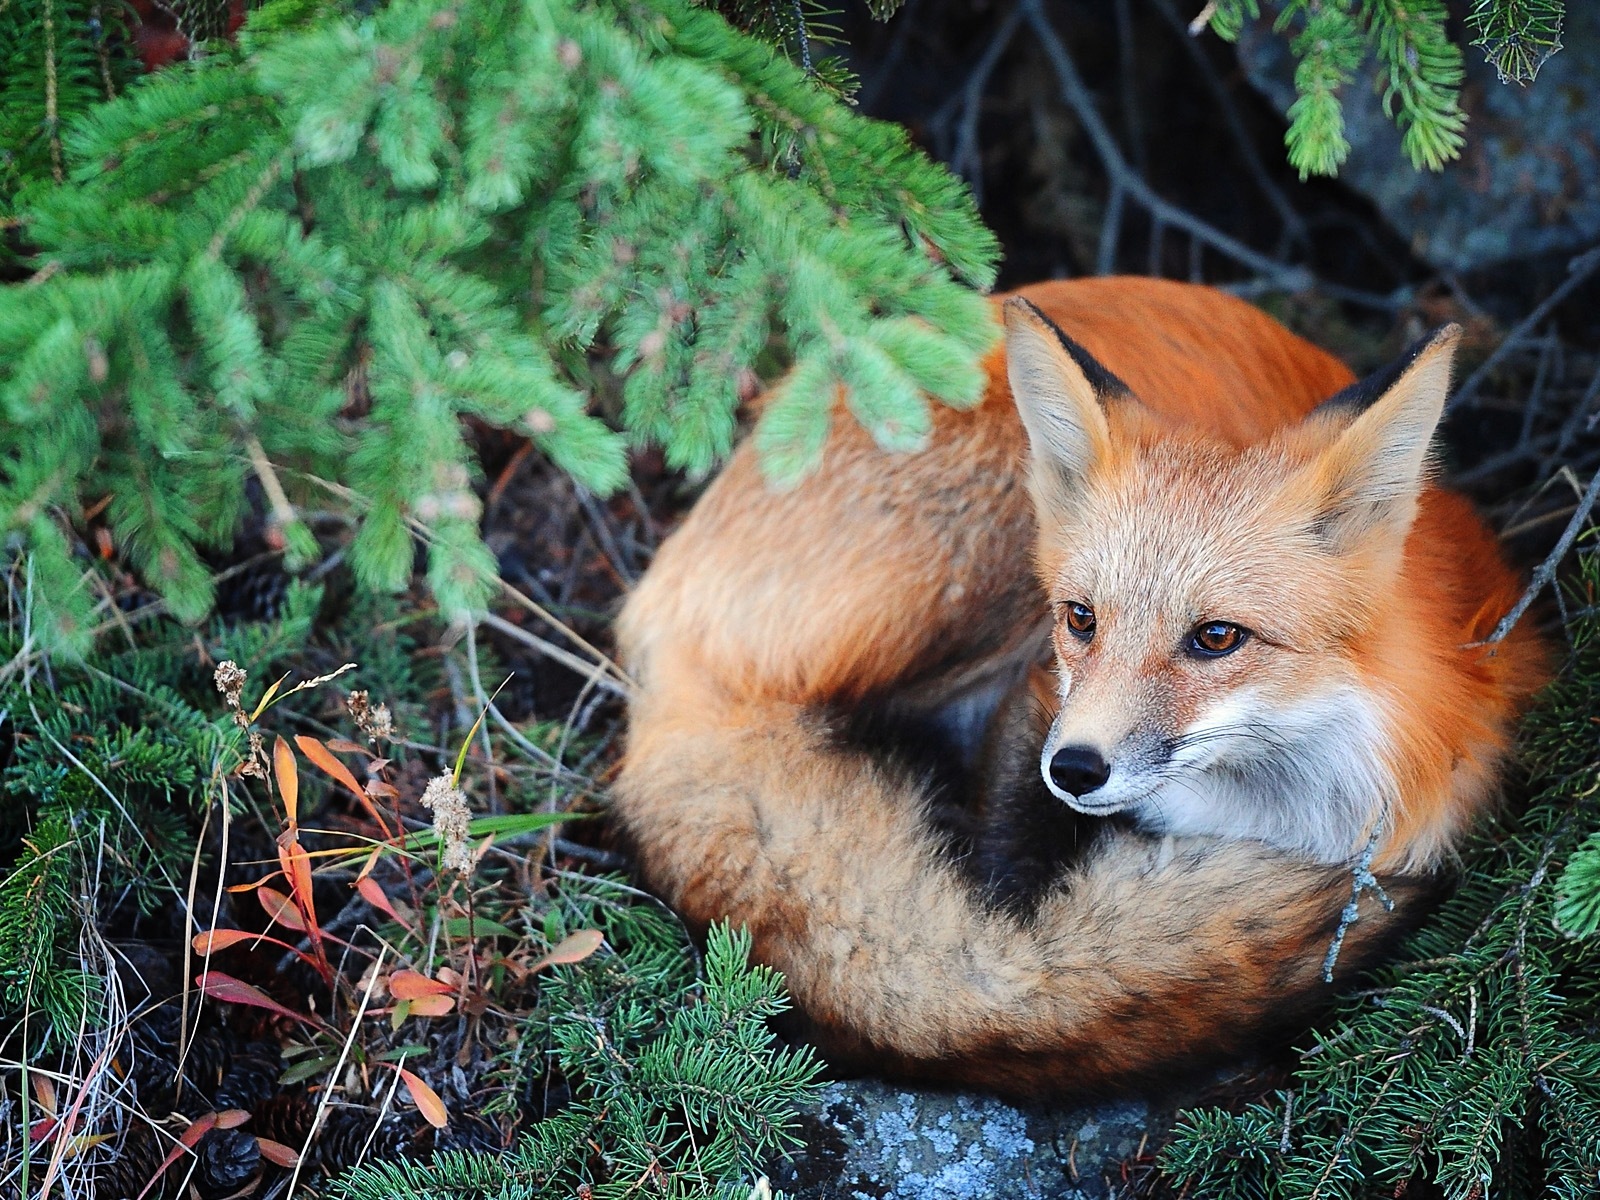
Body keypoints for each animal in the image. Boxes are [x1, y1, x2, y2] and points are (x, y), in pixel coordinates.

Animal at [611, 280, 1548, 1100]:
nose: (1078, 770)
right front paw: (1000, 968)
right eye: (1081, 618)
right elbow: (994, 952)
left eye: (1217, 637)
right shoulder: (1039, 690)